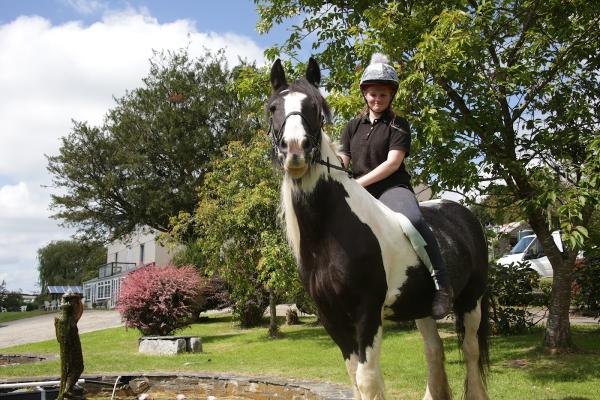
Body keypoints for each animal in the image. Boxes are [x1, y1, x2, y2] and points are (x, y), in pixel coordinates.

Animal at [268, 57, 492, 400]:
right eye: (273, 108)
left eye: (315, 109)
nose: (295, 150)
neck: (332, 233)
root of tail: (463, 214)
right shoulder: (331, 317)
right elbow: (354, 377)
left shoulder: (366, 314)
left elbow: (368, 379)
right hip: (422, 309)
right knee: (434, 351)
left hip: (471, 301)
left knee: (470, 352)